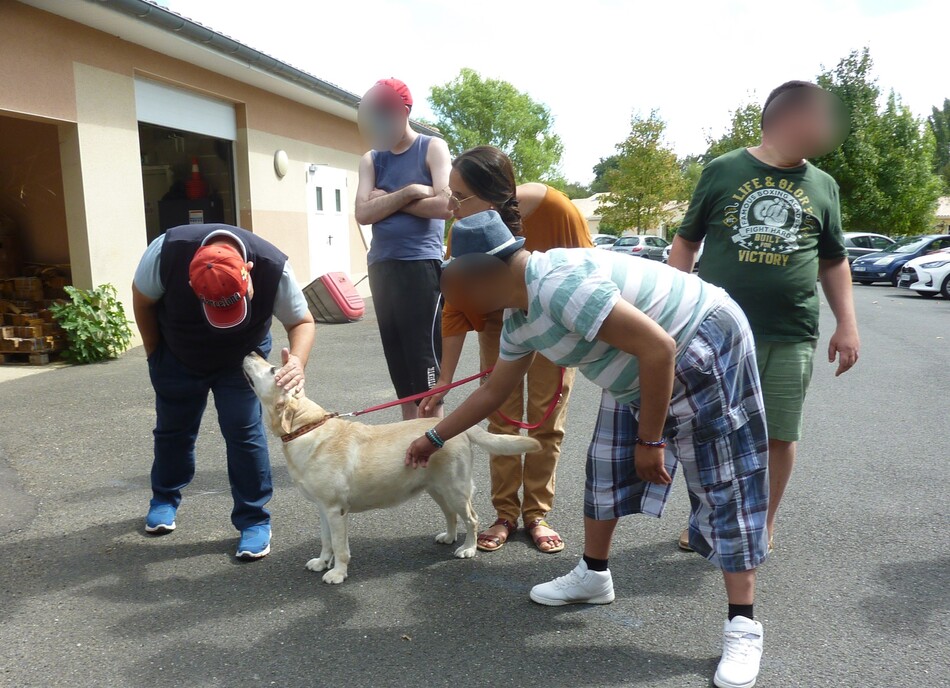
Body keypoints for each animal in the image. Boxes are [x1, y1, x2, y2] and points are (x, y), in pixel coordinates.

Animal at [244, 352, 544, 584]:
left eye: (273, 369)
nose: (250, 352)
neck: (306, 428)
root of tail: (457, 427)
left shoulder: (335, 510)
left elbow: (340, 547)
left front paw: (338, 573)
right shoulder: (322, 509)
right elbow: (326, 541)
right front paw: (321, 562)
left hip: (456, 489)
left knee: (471, 518)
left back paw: (468, 548)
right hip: (436, 488)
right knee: (451, 515)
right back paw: (448, 537)